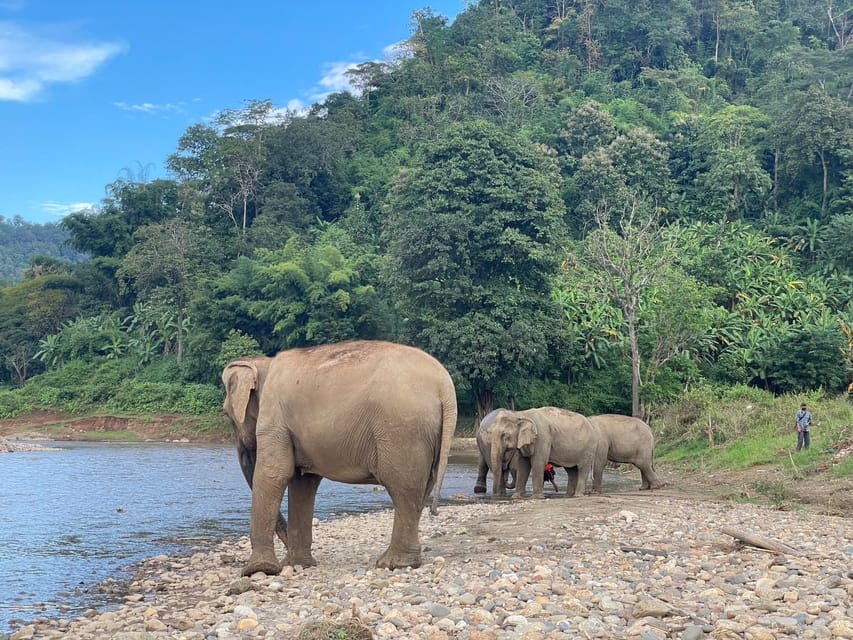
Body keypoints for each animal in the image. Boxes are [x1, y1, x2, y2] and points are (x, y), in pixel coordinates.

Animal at [223, 340, 456, 576]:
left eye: (227, 415)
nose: (285, 546)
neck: (265, 363)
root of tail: (445, 386)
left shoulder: (274, 418)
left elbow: (275, 474)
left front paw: (258, 570)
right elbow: (302, 483)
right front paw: (297, 565)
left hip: (402, 431)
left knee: (403, 490)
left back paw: (392, 564)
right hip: (426, 435)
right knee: (420, 490)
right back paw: (403, 561)